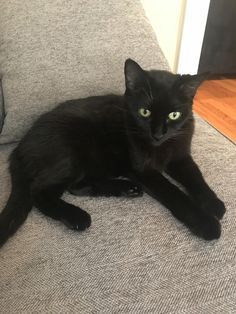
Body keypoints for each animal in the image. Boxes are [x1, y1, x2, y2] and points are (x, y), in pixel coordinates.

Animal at [0, 58, 226, 245]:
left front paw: (213, 204)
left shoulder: (180, 156)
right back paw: (78, 216)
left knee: (77, 187)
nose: (158, 134)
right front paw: (207, 223)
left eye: (174, 115)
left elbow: (196, 177)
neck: (162, 146)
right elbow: (175, 194)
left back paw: (127, 188)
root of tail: (20, 146)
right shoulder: (144, 170)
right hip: (72, 152)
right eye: (145, 112)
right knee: (40, 191)